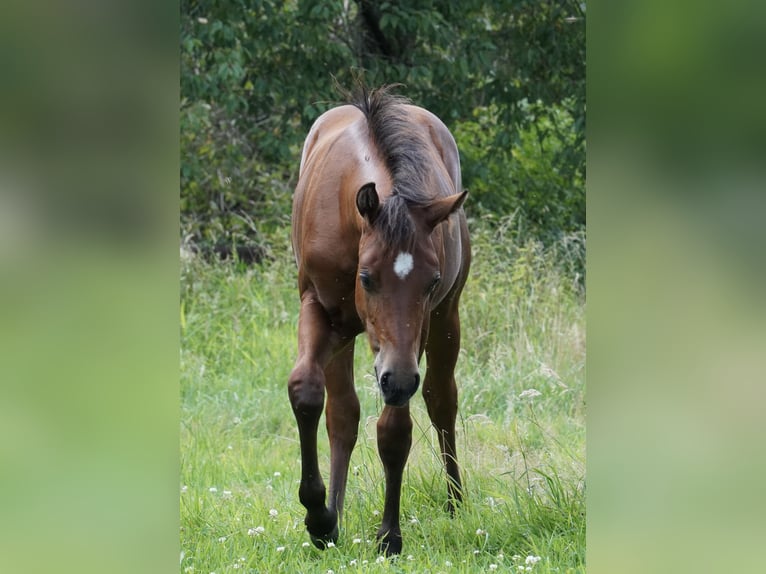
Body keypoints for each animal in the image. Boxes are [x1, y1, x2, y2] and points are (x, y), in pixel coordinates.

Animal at [286, 85, 472, 560]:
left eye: (431, 281)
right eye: (367, 278)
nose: (396, 380)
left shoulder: (413, 338)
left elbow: (395, 431)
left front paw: (389, 535)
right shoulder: (319, 309)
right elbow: (307, 392)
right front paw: (320, 518)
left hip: (445, 320)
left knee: (442, 400)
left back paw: (456, 502)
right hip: (346, 333)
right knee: (342, 414)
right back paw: (334, 510)